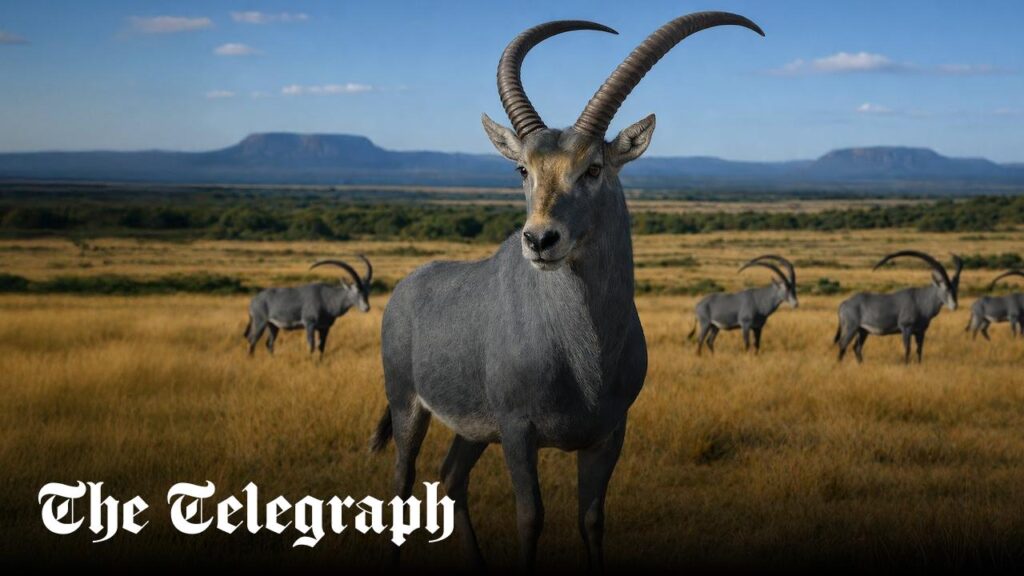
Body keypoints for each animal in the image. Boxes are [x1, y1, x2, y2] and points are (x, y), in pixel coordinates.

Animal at [370, 12, 763, 570]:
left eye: (593, 167)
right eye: (523, 169)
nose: (539, 240)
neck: (583, 353)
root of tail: (407, 287)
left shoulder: (608, 434)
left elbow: (592, 519)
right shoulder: (518, 432)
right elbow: (531, 518)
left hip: (472, 429)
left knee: (450, 477)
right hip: (408, 406)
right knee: (403, 484)